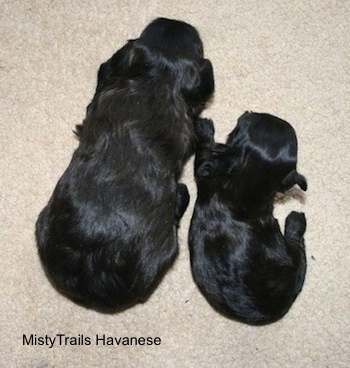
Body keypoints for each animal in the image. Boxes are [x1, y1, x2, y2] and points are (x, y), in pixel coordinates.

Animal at [190, 113, 308, 324]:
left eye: (238, 129)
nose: (247, 112)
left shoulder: (207, 172)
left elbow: (205, 153)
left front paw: (204, 129)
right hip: (294, 263)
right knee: (298, 245)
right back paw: (296, 220)